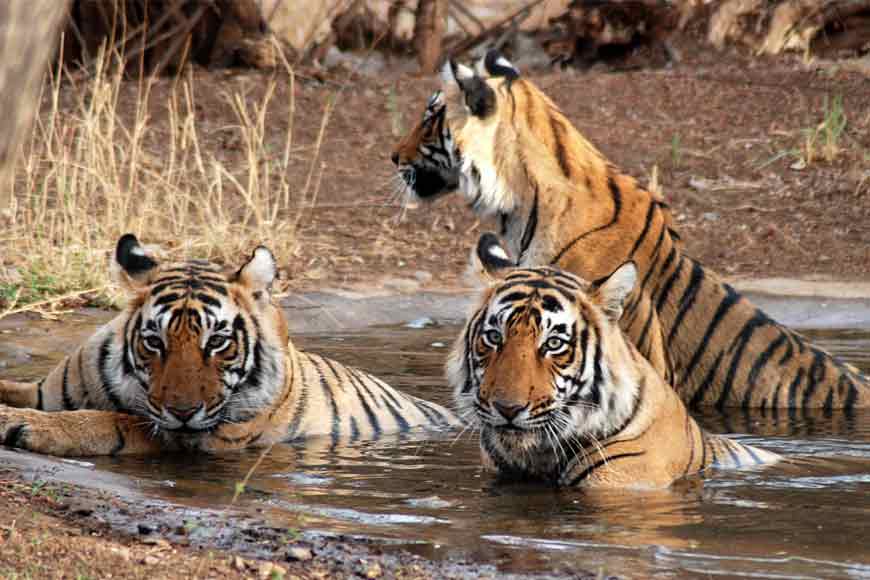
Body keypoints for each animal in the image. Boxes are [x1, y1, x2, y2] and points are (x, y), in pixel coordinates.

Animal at [0, 234, 458, 457]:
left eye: (218, 342)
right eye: (154, 342)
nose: (183, 412)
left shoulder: (196, 436)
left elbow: (109, 422)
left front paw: (23, 424)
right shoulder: (44, 390)